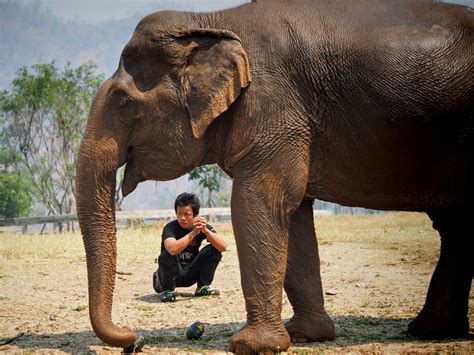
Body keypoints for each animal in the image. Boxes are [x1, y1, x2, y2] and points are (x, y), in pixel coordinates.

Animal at [76, 0, 472, 354]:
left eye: (124, 102)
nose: (134, 338)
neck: (213, 20)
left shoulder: (274, 108)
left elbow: (257, 203)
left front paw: (250, 346)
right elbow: (292, 214)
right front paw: (304, 336)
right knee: (455, 227)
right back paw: (428, 332)